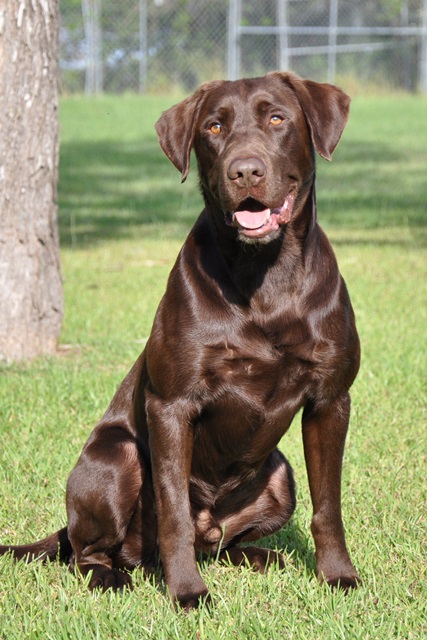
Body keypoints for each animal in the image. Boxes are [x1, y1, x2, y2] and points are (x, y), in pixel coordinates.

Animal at [0, 72, 362, 608]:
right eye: (214, 127)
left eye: (278, 118)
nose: (245, 171)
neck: (266, 276)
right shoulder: (171, 405)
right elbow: (173, 513)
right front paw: (188, 593)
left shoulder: (330, 399)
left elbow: (328, 505)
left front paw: (337, 575)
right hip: (116, 457)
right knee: (88, 552)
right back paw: (112, 576)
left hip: (280, 475)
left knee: (222, 544)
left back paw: (262, 556)